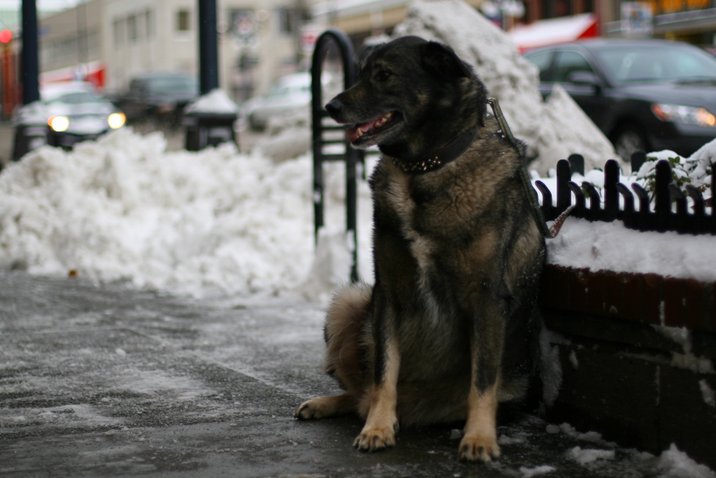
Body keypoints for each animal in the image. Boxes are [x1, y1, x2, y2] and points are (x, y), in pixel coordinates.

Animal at [294, 36, 544, 464]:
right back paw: (333, 405)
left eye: (384, 75)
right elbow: (384, 372)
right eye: (360, 72)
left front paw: (479, 438)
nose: (330, 107)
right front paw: (377, 427)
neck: (424, 167)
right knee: (361, 391)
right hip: (349, 301)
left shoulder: (487, 298)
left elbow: (482, 379)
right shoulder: (388, 294)